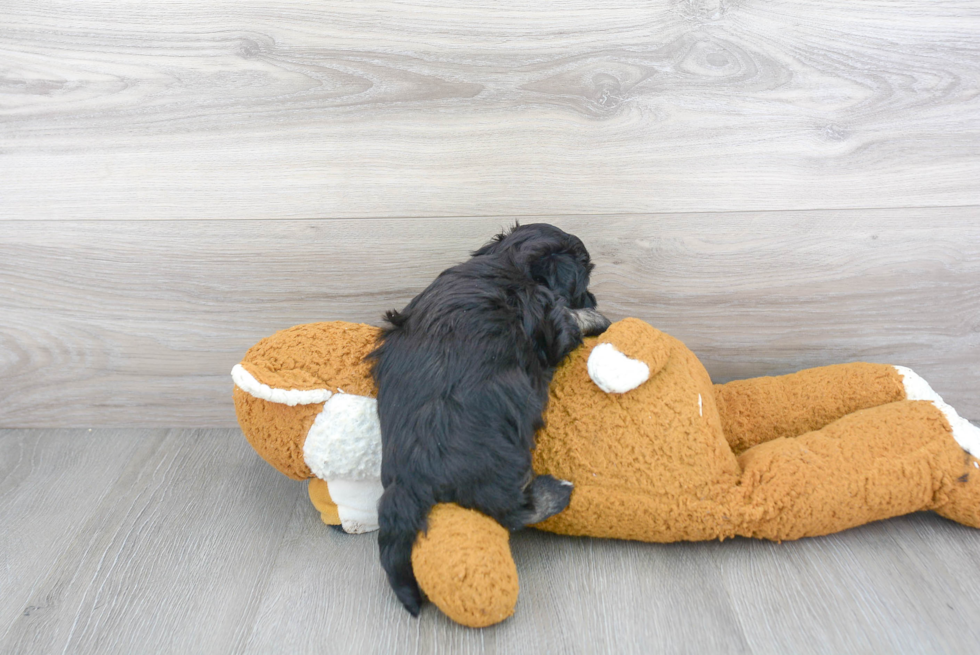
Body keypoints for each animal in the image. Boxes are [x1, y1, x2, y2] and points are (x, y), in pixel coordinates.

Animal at [372, 224, 608, 616]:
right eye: (585, 278)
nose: (591, 297)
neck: (507, 262)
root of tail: (409, 481)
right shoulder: (552, 323)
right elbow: (567, 323)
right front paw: (596, 317)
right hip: (500, 469)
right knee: (516, 511)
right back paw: (556, 491)